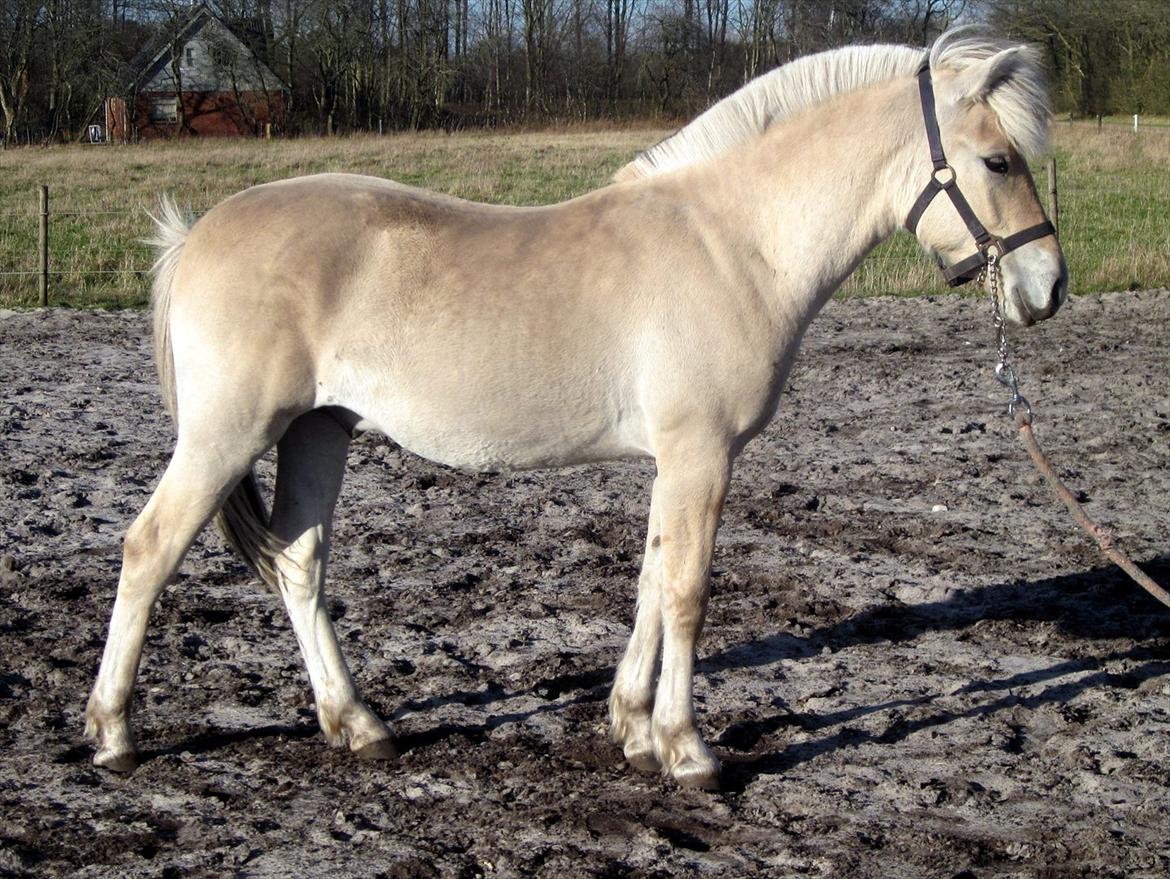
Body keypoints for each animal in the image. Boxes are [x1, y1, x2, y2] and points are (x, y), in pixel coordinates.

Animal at [86, 31, 1067, 795]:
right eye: (996, 160)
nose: (1047, 288)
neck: (733, 242)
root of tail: (197, 232)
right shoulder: (702, 454)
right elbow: (687, 591)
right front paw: (687, 750)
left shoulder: (678, 461)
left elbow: (651, 580)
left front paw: (631, 725)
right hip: (227, 436)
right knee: (149, 548)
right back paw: (113, 734)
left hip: (316, 431)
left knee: (297, 563)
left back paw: (358, 724)